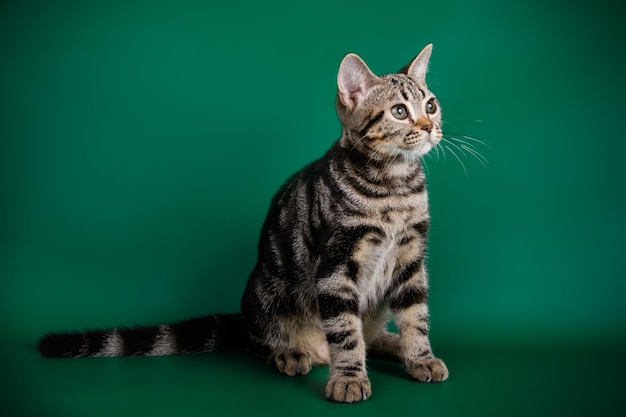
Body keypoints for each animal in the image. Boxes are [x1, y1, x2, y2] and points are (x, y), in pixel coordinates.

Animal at [39, 44, 446, 402]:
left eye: (430, 104)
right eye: (399, 111)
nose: (430, 126)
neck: (393, 187)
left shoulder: (412, 257)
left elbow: (415, 315)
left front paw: (420, 357)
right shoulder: (337, 263)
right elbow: (344, 330)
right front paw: (348, 377)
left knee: (368, 331)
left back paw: (389, 343)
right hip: (267, 295)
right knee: (261, 344)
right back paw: (290, 354)